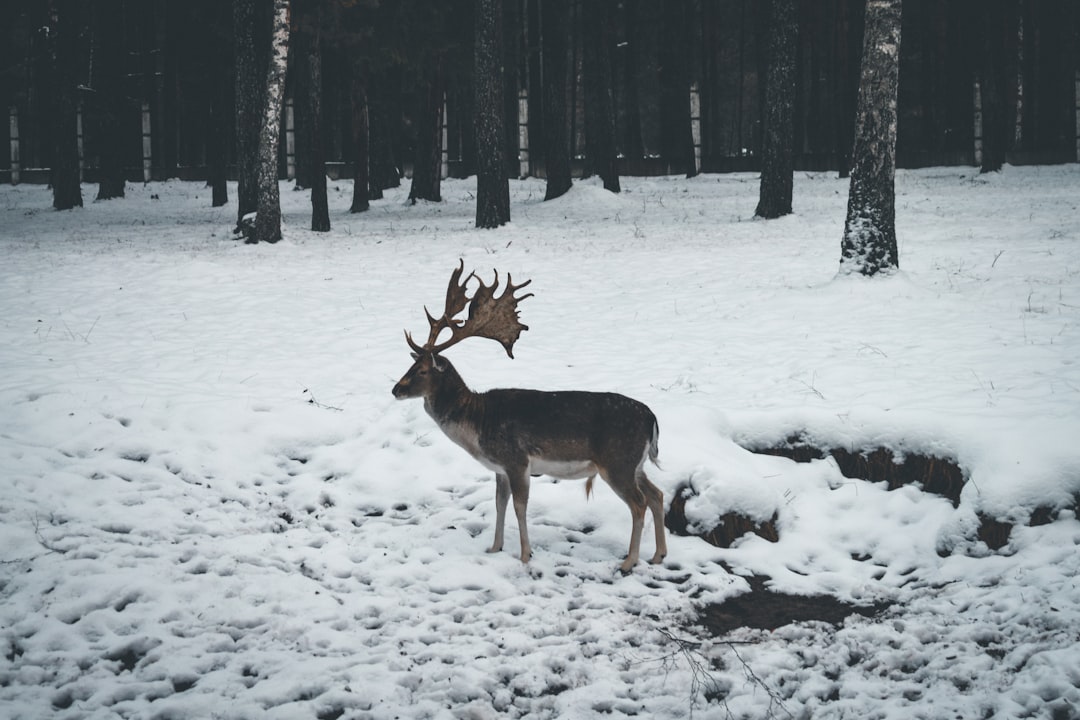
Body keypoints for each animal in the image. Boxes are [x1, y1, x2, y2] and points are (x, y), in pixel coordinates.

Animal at [393, 260, 665, 574]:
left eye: (423, 370)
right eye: (411, 366)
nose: (395, 389)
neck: (478, 424)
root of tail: (652, 418)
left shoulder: (517, 460)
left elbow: (519, 506)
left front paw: (525, 555)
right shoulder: (499, 468)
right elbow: (499, 504)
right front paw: (494, 547)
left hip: (617, 461)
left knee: (639, 503)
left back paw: (629, 560)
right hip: (636, 463)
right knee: (657, 494)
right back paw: (659, 554)